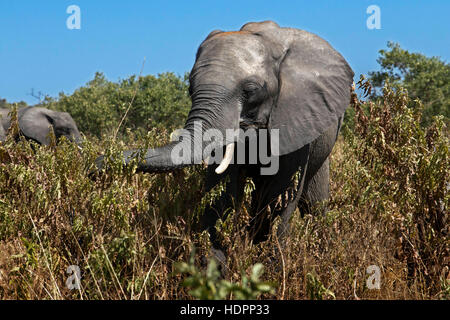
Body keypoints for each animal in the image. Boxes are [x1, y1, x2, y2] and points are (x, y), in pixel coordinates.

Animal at [96, 21, 356, 264]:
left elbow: (279, 196)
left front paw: (270, 271)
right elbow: (222, 193)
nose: (96, 166)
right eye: (190, 88)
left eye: (251, 90)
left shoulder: (296, 117)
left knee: (314, 204)